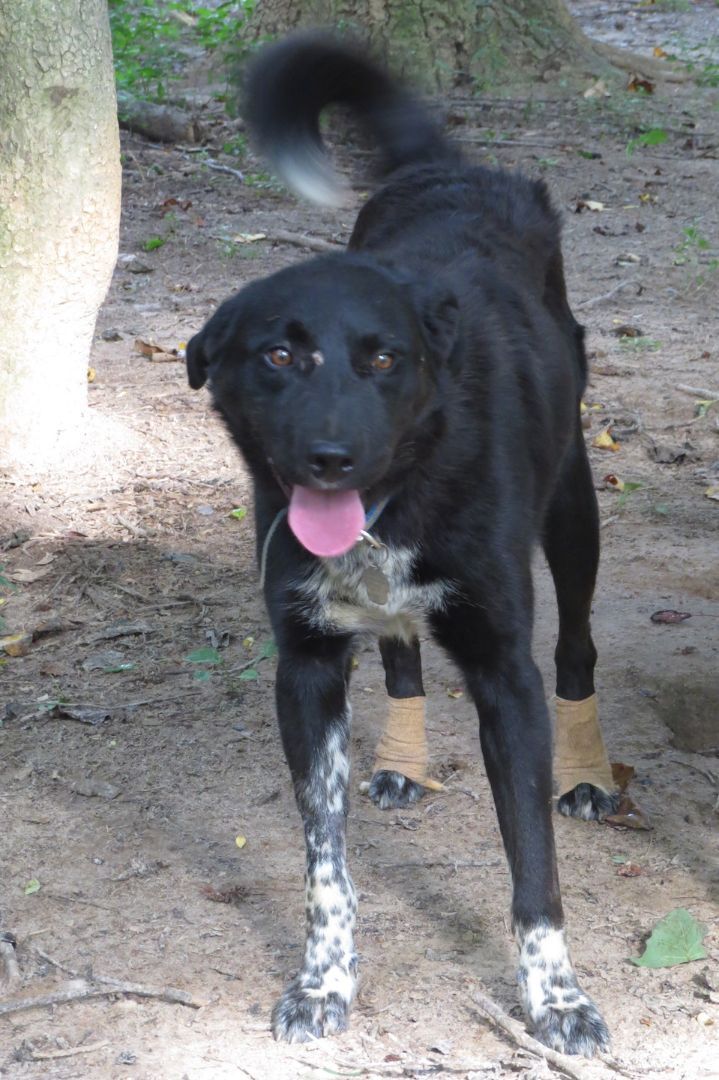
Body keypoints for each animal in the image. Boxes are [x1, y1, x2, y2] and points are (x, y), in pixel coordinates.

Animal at [185, 35, 608, 1054]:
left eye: (383, 359)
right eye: (278, 355)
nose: (331, 458)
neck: (395, 499)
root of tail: (447, 169)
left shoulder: (504, 672)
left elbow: (533, 866)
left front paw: (556, 997)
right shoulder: (303, 666)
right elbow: (324, 861)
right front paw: (323, 981)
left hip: (574, 513)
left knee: (576, 646)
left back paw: (586, 775)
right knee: (400, 651)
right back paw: (401, 765)